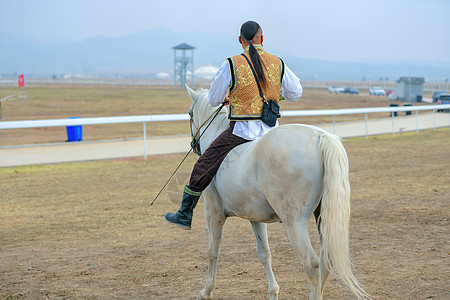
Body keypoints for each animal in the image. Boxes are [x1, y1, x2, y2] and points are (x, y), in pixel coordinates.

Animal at [184, 86, 370, 300]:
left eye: (189, 113)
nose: (194, 146)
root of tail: (320, 137)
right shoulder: (255, 217)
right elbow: (264, 253)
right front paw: (273, 292)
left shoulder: (214, 214)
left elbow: (212, 252)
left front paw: (206, 291)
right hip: (322, 217)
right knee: (326, 259)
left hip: (295, 223)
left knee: (312, 264)